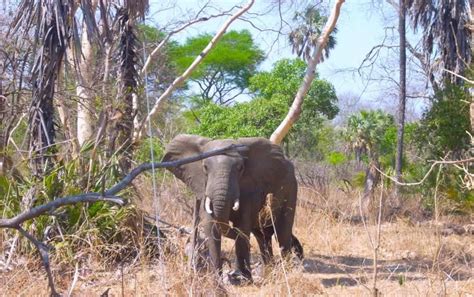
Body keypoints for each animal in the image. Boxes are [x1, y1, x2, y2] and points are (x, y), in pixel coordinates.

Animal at [163, 134, 304, 282]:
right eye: (205, 167)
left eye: (240, 168)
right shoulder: (203, 187)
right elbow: (211, 224)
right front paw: (216, 279)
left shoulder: (249, 188)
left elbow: (242, 225)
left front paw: (241, 279)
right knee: (262, 236)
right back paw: (269, 270)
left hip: (291, 187)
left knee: (282, 231)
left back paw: (286, 269)